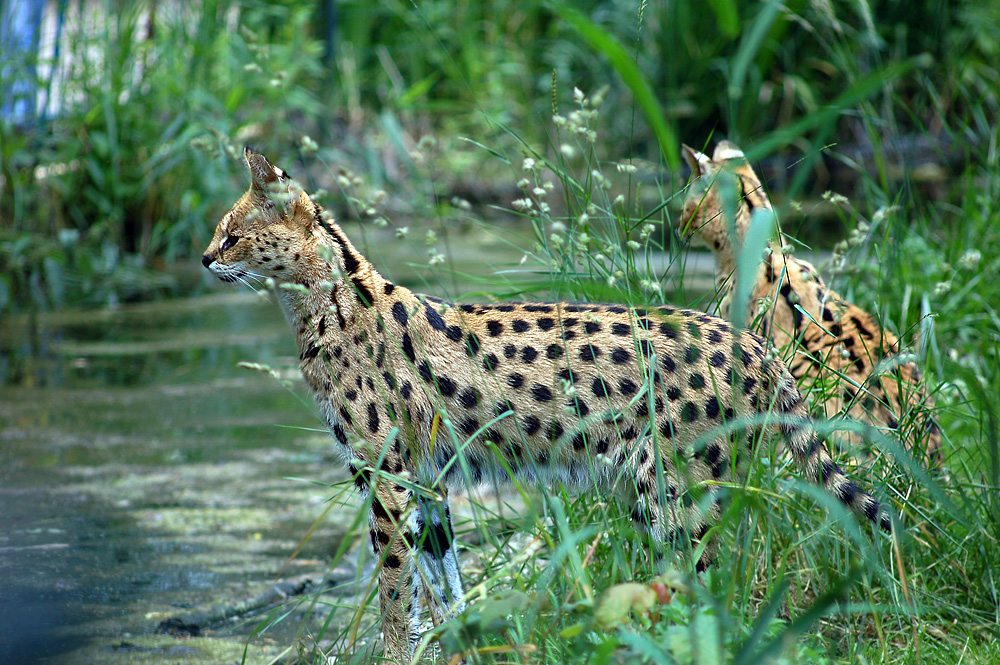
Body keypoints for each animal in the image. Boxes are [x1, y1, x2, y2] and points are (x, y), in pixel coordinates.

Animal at [201, 148, 892, 660]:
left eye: (231, 236)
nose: (205, 258)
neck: (321, 303)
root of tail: (752, 343)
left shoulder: (385, 474)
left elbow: (396, 585)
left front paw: (393, 651)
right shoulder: (427, 480)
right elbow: (443, 581)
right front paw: (454, 644)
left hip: (676, 494)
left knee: (712, 592)